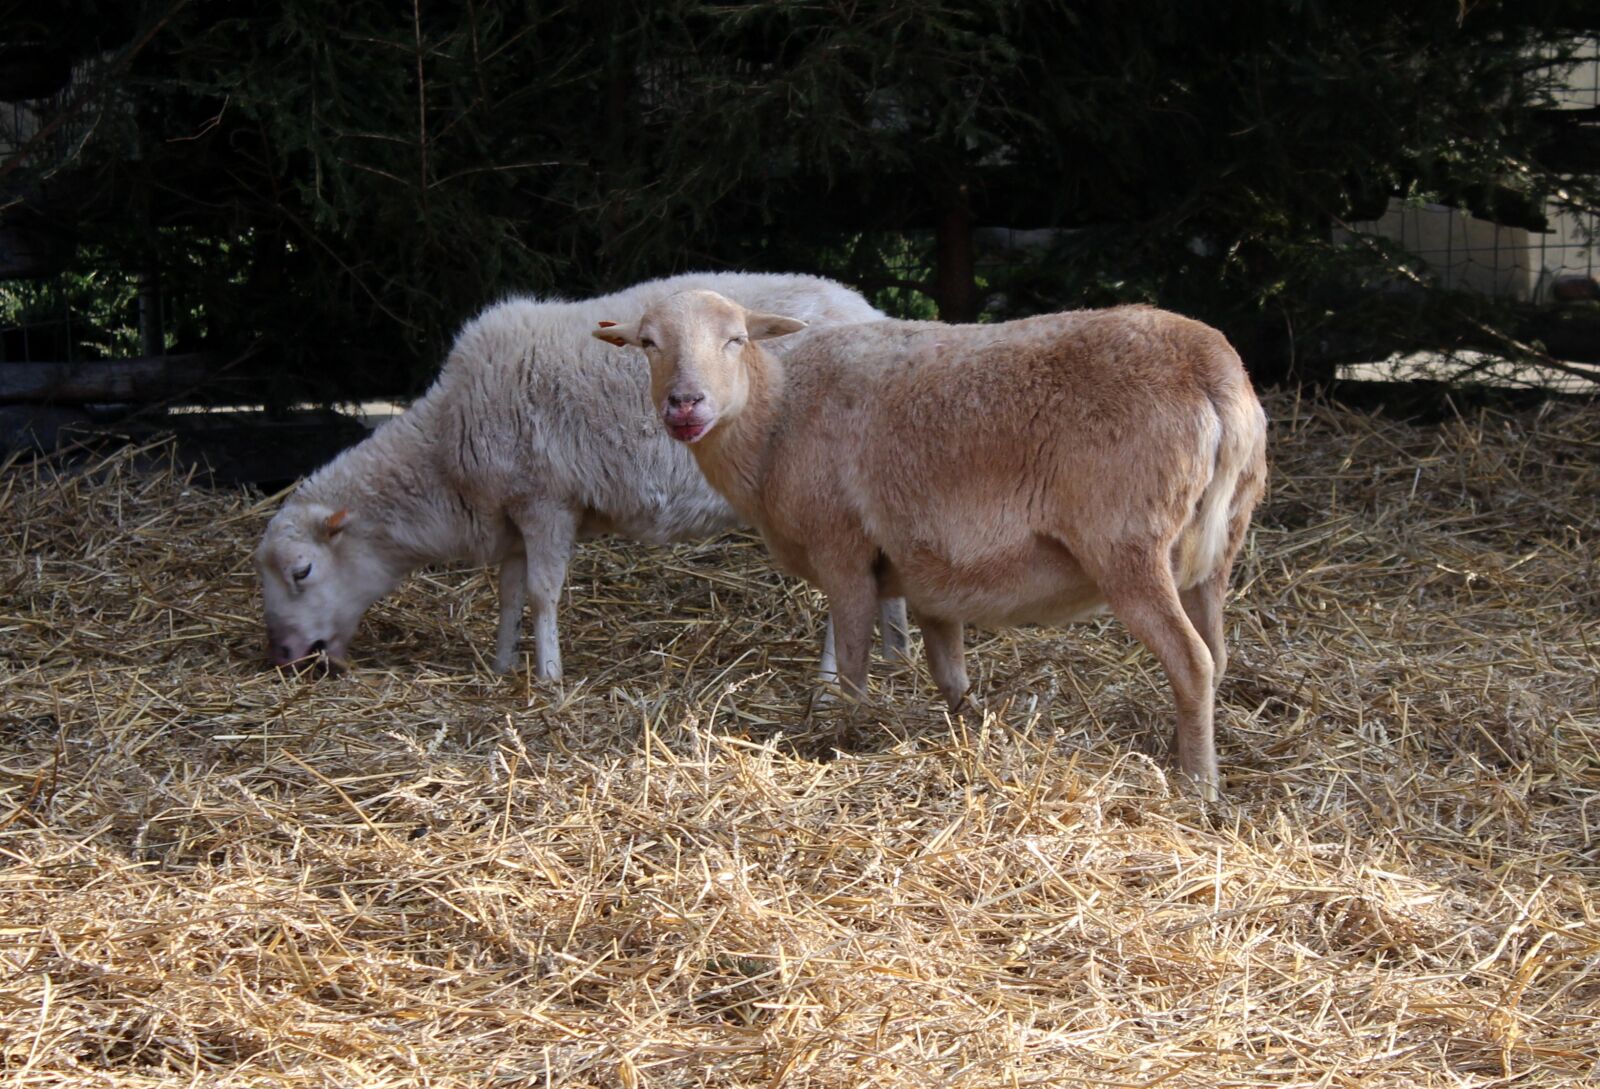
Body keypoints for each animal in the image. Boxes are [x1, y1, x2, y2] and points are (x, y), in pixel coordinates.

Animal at [254, 272, 910, 679]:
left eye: (302, 571)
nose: (282, 656)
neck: (443, 450)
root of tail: (872, 311)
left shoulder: (546, 500)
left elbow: (542, 594)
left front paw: (548, 677)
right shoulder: (514, 514)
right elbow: (508, 593)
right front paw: (502, 666)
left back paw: (832, 677)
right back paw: (897, 659)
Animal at [593, 290, 1268, 797]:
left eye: (735, 339)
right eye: (648, 343)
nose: (684, 404)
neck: (776, 418)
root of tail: (1213, 370)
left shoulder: (843, 552)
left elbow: (854, 665)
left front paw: (844, 738)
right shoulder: (930, 573)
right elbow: (950, 675)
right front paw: (968, 732)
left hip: (1129, 543)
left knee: (1191, 659)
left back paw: (1197, 785)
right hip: (1218, 548)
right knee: (1216, 656)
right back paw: (1184, 747)